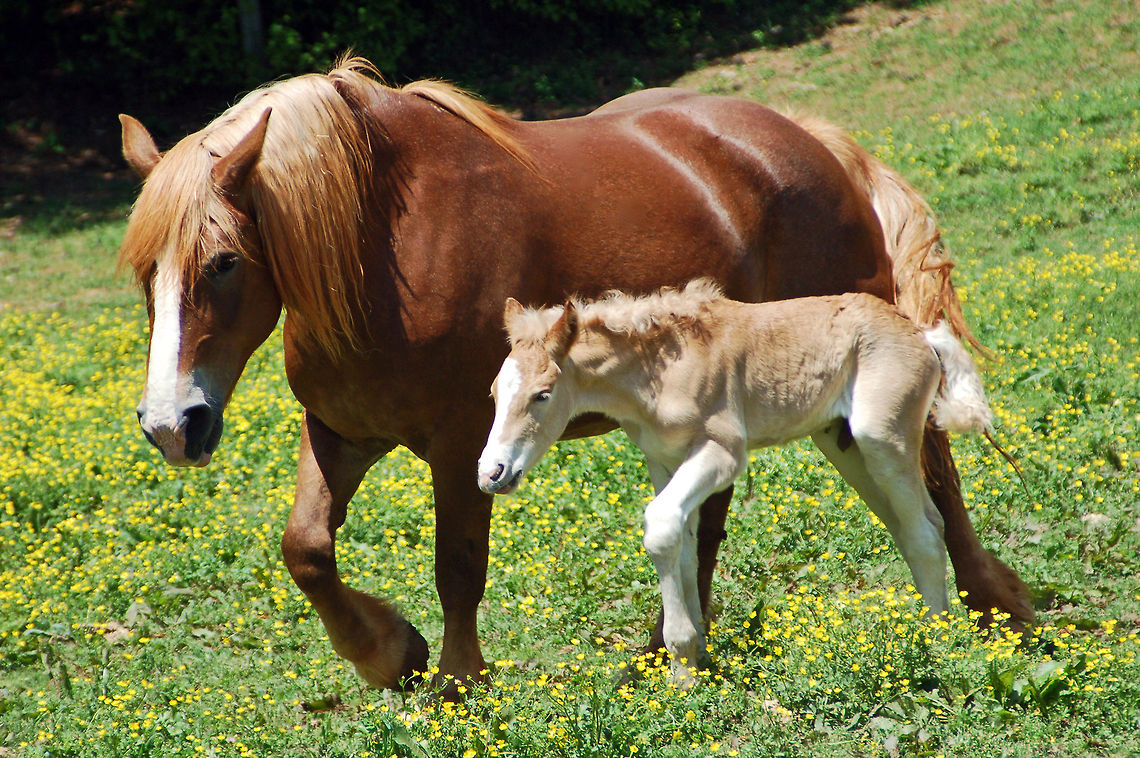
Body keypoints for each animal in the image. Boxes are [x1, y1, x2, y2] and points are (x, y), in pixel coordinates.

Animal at [478, 281, 995, 683]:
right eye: (494, 392)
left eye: (542, 395)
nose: (491, 473)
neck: (657, 373)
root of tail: (920, 330)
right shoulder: (663, 460)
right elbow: (682, 543)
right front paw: (693, 664)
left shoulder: (723, 454)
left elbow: (660, 525)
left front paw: (682, 660)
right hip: (842, 443)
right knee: (916, 524)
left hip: (881, 437)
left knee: (923, 532)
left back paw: (938, 643)